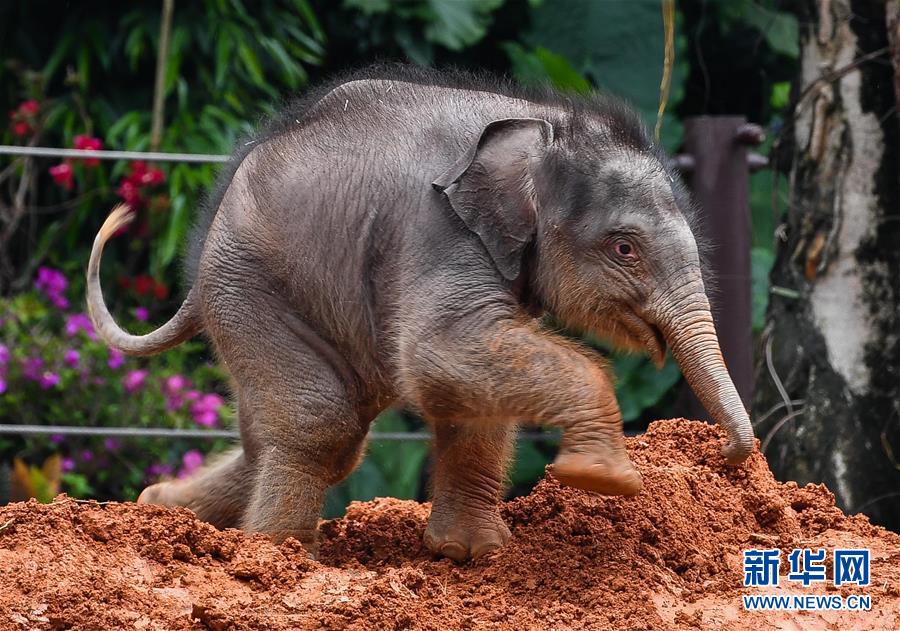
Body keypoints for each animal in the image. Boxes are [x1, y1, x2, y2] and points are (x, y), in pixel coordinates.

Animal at [86, 65, 754, 561]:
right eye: (624, 248)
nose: (730, 457)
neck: (540, 125)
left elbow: (471, 383)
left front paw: (470, 553)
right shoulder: (436, 228)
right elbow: (442, 353)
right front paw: (605, 478)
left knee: (307, 434)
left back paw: (160, 508)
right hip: (249, 286)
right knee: (321, 423)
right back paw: (279, 557)